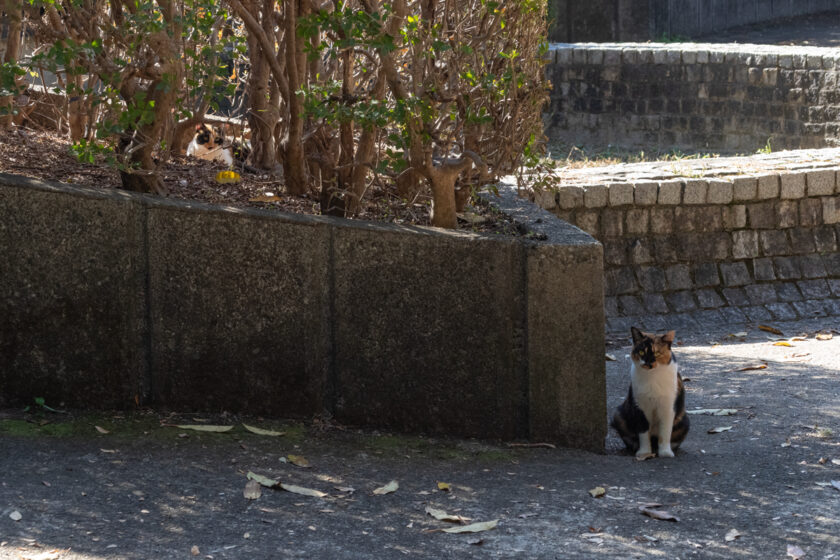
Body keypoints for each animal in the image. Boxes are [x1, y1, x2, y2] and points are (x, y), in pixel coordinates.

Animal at [612, 326, 688, 458]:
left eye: (657, 353)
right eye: (641, 352)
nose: (648, 362)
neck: (652, 377)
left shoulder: (668, 408)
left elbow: (665, 432)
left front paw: (665, 453)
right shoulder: (640, 407)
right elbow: (643, 432)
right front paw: (644, 453)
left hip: (685, 421)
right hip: (618, 415)